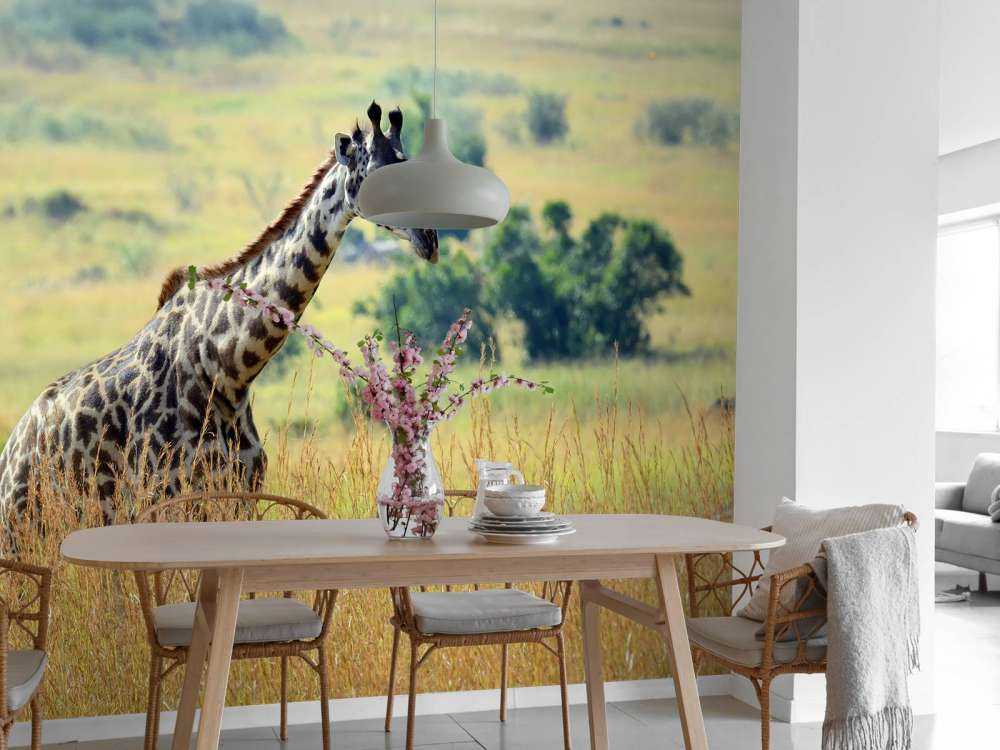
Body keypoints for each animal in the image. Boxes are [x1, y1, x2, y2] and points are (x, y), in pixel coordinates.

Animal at [0, 102, 438, 524]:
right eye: (377, 179)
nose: (429, 239)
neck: (228, 370)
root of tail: (11, 451)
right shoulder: (165, 493)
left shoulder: (240, 491)